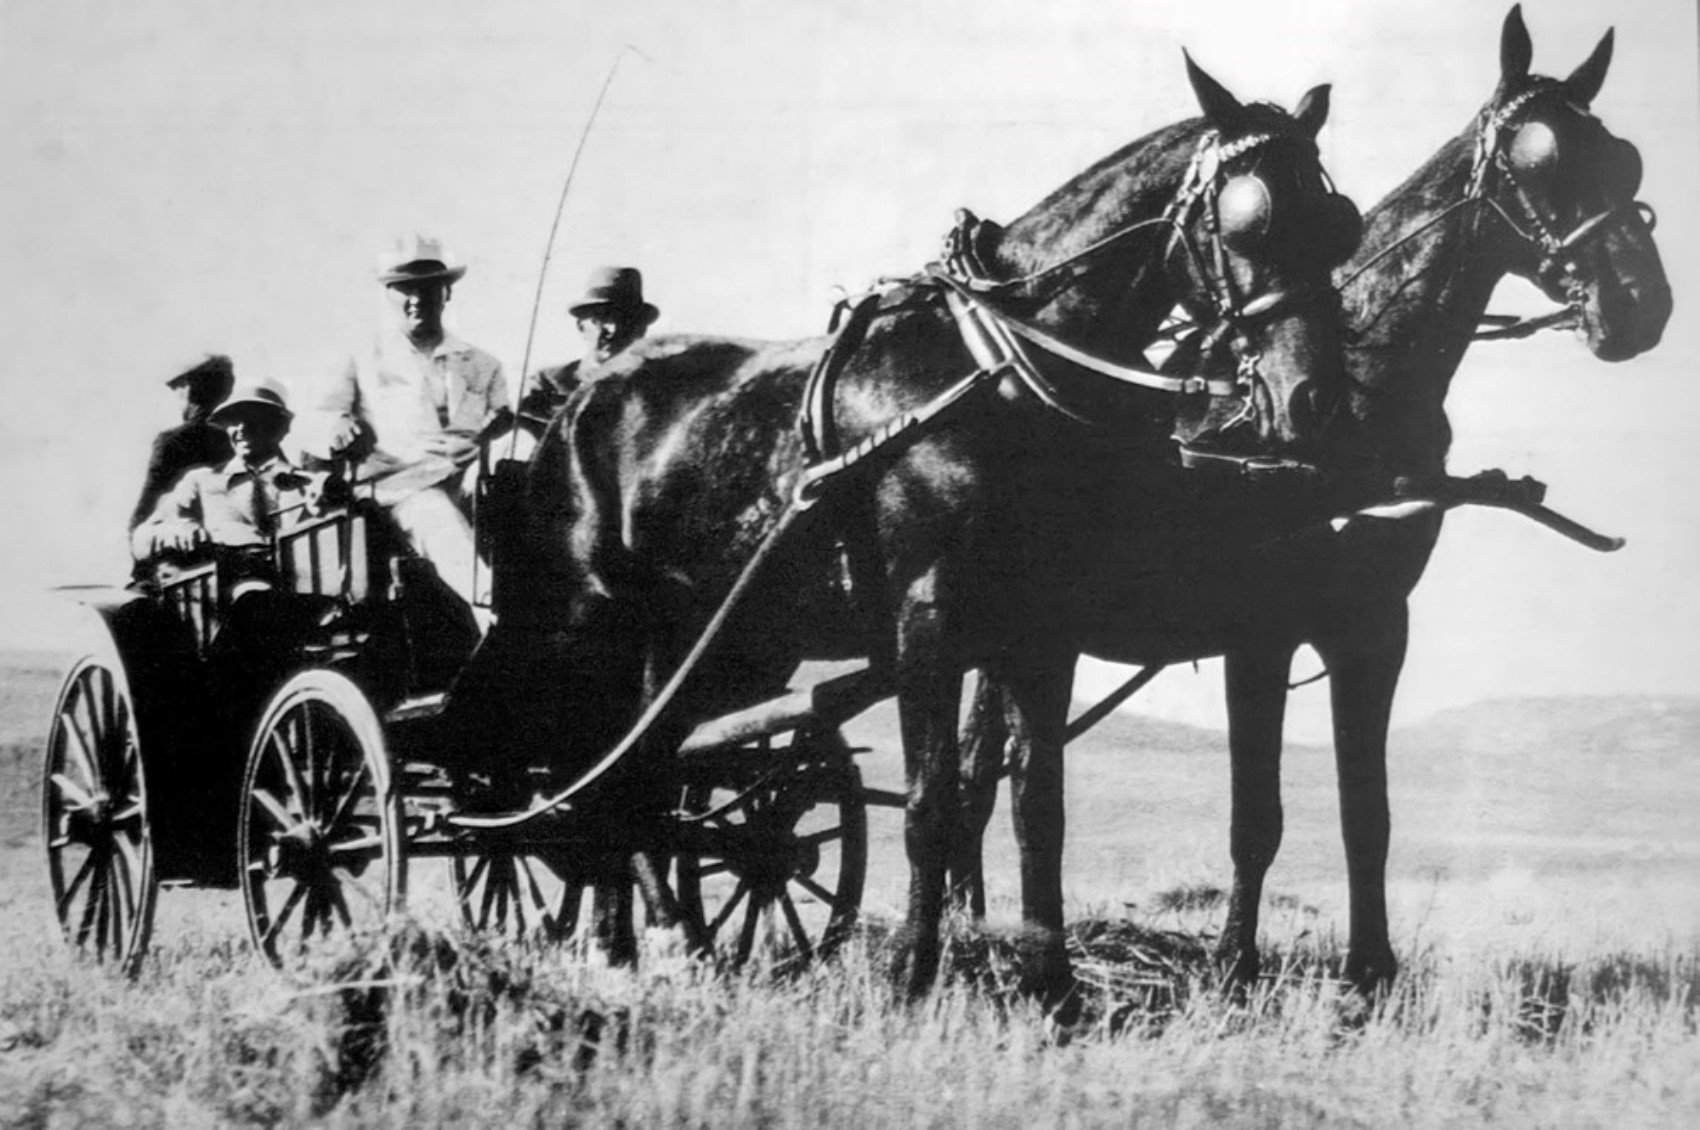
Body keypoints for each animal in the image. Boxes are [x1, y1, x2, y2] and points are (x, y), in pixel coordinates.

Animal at [958, 6, 1672, 999]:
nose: (1640, 308)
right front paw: (1233, 966)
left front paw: (1369, 970)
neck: (1357, 396)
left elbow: (1366, 811)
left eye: (1624, 159)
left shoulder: (1373, 626)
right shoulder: (1258, 631)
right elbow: (1255, 817)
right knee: (983, 768)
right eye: (1539, 162)